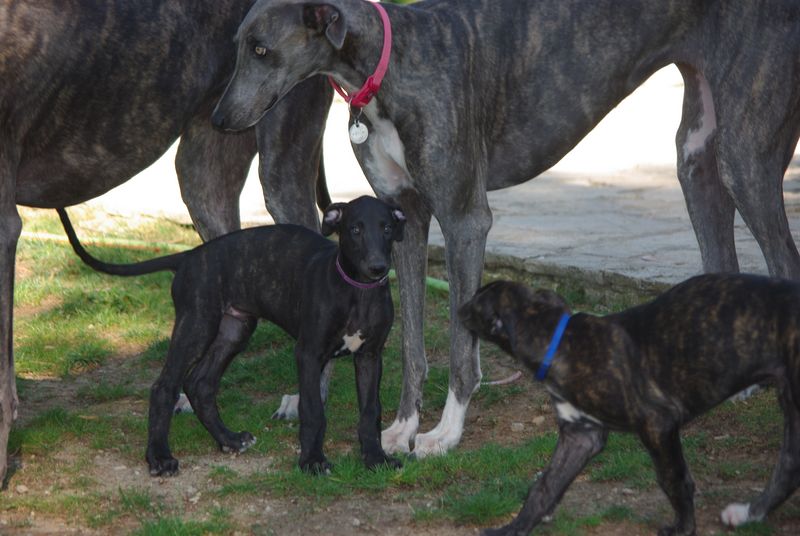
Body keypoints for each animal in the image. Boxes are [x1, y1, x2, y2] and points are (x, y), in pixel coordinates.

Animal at [58, 196, 405, 476]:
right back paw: (159, 457)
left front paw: (375, 458)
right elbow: (313, 410)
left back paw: (230, 440)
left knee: (200, 384)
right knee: (165, 386)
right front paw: (312, 461)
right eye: (355, 230)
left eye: (387, 229)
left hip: (234, 329)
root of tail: (188, 256)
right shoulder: (308, 353)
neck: (357, 291)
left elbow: (370, 411)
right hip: (197, 325)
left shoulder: (370, 356)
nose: (378, 268)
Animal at [211, 0, 800, 459]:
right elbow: (413, 346)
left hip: (745, 158)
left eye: (262, 49)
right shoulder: (404, 219)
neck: (389, 64)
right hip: (696, 156)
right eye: (238, 45)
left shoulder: (465, 219)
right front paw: (401, 428)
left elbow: (460, 344)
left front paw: (444, 434)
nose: (218, 120)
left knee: (783, 257)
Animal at [459, 274, 800, 535]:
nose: (459, 306)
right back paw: (747, 514)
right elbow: (544, 487)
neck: (560, 340)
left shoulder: (657, 423)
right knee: (789, 465)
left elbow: (673, 479)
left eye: (476, 302)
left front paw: (683, 528)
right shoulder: (580, 436)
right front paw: (512, 529)